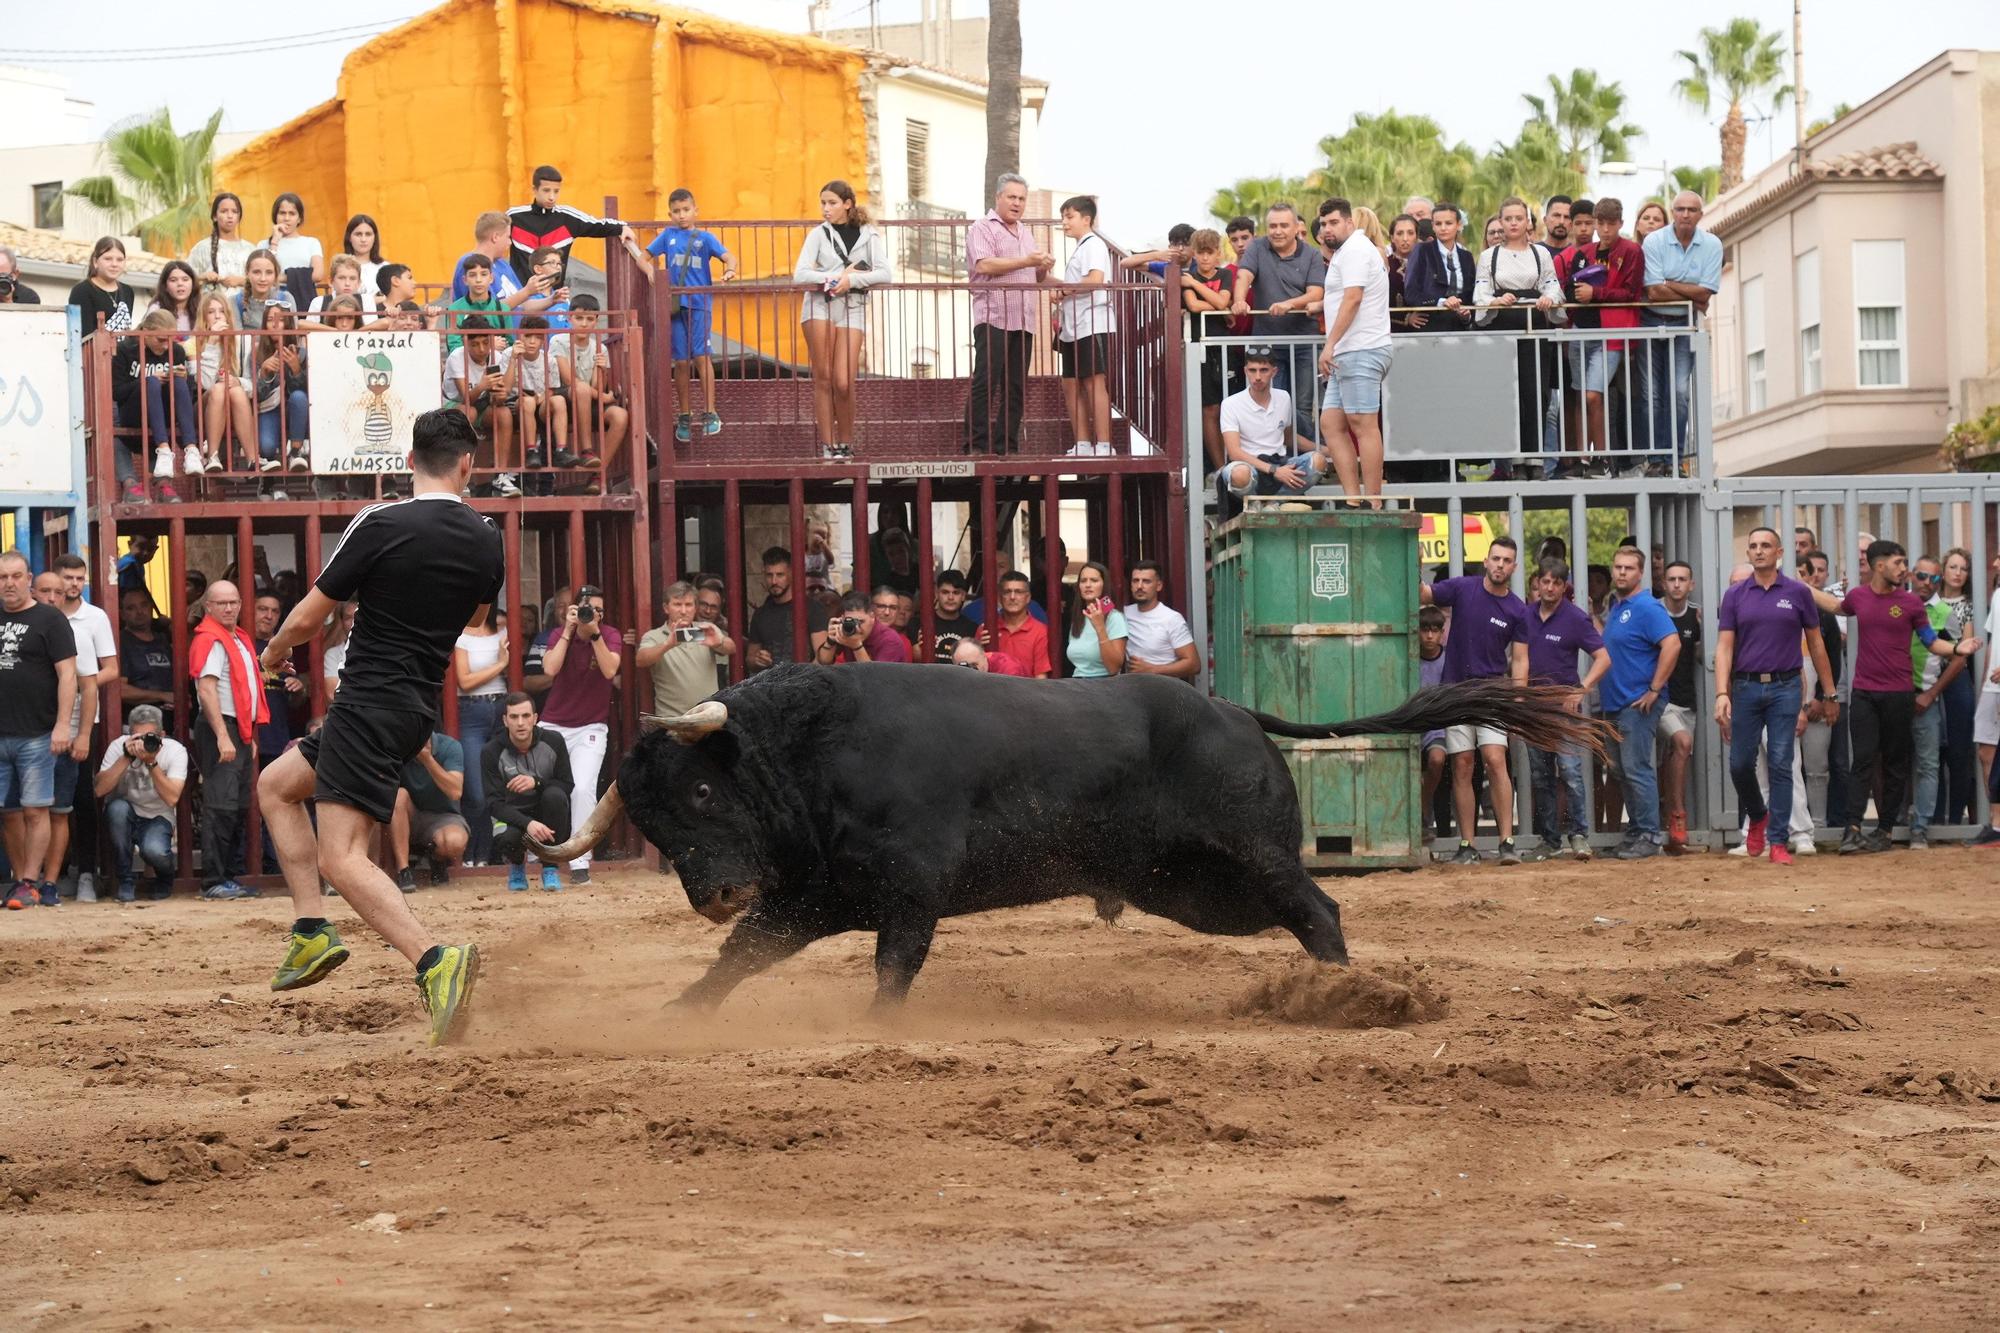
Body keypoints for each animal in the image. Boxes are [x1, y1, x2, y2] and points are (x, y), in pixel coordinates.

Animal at [536, 664, 1608, 1008]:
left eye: (703, 790)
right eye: (654, 822)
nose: (713, 889)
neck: (812, 747)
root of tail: (1236, 710)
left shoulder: (909, 890)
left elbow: (893, 968)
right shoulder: (820, 897)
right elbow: (741, 957)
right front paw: (676, 1016)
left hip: (1248, 854)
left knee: (1319, 905)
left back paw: (1349, 994)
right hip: (1194, 890)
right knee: (1300, 912)